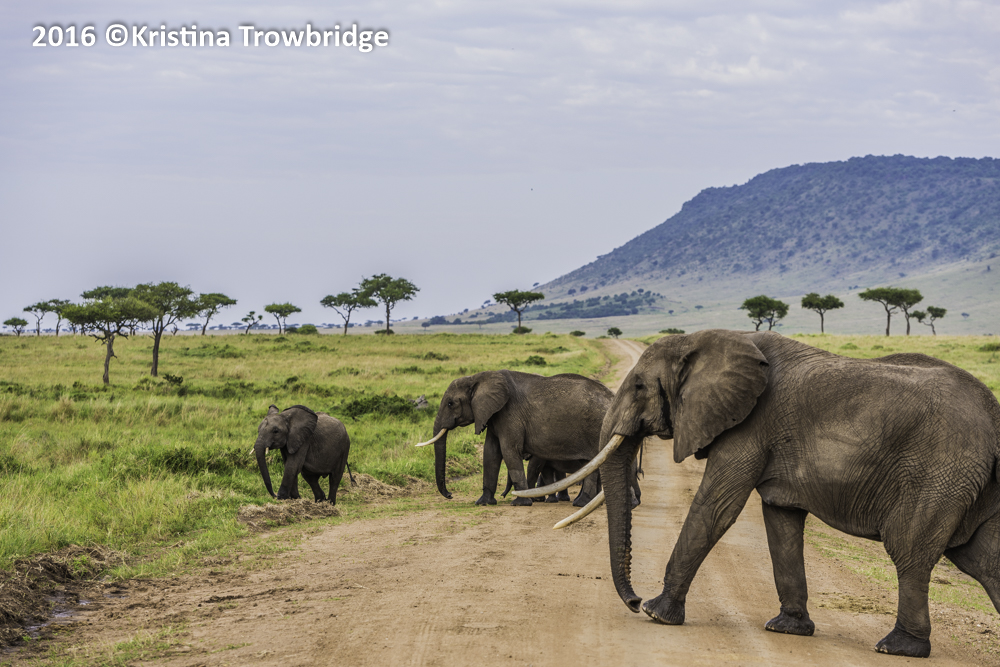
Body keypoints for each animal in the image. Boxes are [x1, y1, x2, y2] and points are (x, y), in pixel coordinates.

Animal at [417, 370, 616, 507]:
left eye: (451, 404)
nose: (450, 495)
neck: (477, 378)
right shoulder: (494, 415)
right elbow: (491, 453)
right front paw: (484, 502)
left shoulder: (509, 414)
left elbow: (509, 450)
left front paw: (520, 503)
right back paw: (583, 503)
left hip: (596, 428)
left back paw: (580, 504)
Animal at [519, 329, 1000, 658]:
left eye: (639, 386)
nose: (634, 601)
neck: (706, 339)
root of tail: (994, 416)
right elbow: (780, 521)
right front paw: (786, 629)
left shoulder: (749, 427)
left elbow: (716, 506)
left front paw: (658, 613)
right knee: (984, 559)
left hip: (940, 472)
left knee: (911, 550)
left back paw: (897, 647)